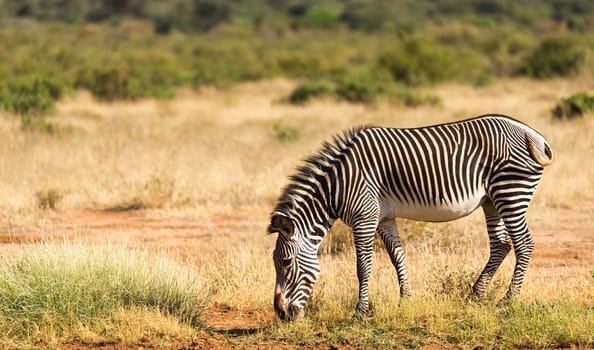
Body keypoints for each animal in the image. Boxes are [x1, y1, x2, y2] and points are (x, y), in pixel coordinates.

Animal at [266, 114, 552, 320]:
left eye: (286, 263)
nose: (281, 314)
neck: (337, 185)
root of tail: (533, 134)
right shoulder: (383, 218)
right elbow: (397, 257)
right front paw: (405, 299)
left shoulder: (364, 217)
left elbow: (363, 266)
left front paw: (360, 312)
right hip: (492, 200)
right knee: (501, 245)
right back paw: (475, 295)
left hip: (511, 191)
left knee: (524, 244)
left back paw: (508, 300)